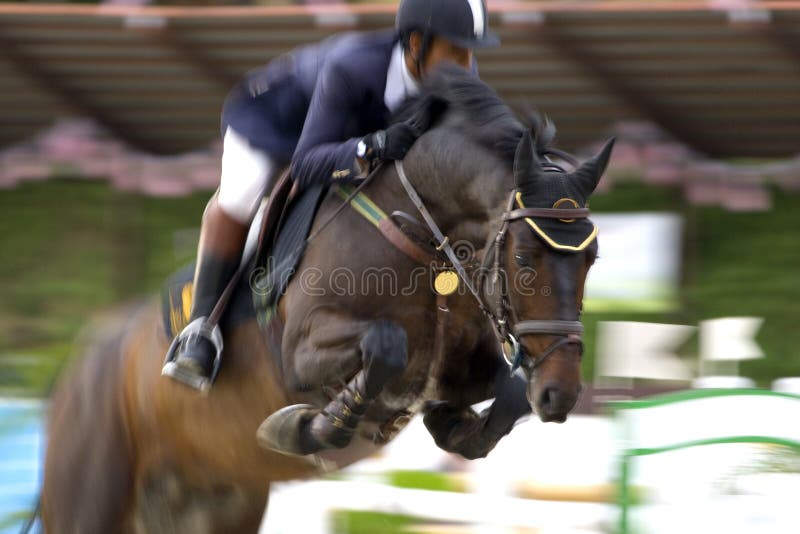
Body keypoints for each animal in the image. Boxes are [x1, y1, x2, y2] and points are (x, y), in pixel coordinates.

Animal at [40, 65, 612, 532]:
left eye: (592, 258)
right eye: (524, 259)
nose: (559, 394)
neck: (424, 234)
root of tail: (81, 362)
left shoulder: (464, 369)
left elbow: (507, 392)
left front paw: (451, 426)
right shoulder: (300, 353)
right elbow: (385, 346)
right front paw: (309, 427)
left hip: (215, 502)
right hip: (92, 489)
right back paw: (194, 356)